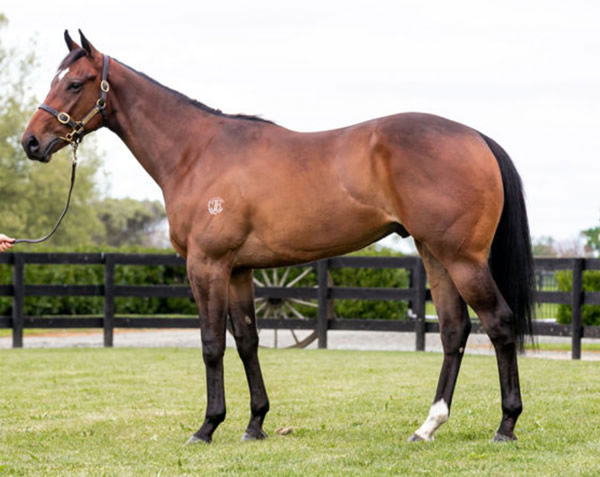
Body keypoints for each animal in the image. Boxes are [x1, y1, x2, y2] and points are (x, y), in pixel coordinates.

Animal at [21, 30, 532, 442]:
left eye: (74, 82)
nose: (30, 142)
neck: (196, 152)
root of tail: (475, 137)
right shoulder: (239, 270)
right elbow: (247, 341)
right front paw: (255, 424)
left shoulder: (206, 265)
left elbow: (211, 343)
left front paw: (207, 427)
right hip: (434, 254)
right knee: (454, 329)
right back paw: (428, 426)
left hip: (463, 258)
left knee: (499, 323)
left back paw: (506, 425)